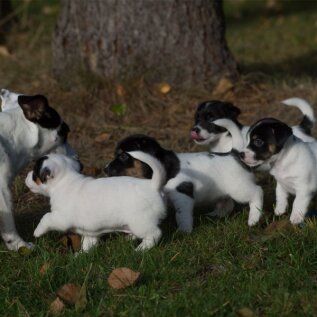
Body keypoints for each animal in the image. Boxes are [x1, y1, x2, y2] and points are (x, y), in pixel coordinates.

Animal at [25, 153, 167, 252]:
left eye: (34, 173)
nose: (26, 176)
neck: (65, 181)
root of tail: (153, 185)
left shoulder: (61, 219)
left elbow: (46, 217)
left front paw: (37, 232)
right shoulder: (90, 233)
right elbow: (87, 245)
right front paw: (80, 256)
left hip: (140, 222)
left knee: (155, 234)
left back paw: (141, 249)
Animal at [103, 131, 262, 230]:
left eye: (123, 156)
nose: (105, 169)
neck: (166, 167)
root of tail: (234, 154)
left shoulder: (182, 196)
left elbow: (181, 215)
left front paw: (184, 231)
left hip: (239, 188)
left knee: (257, 192)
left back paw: (254, 218)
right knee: (227, 204)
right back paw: (214, 215)